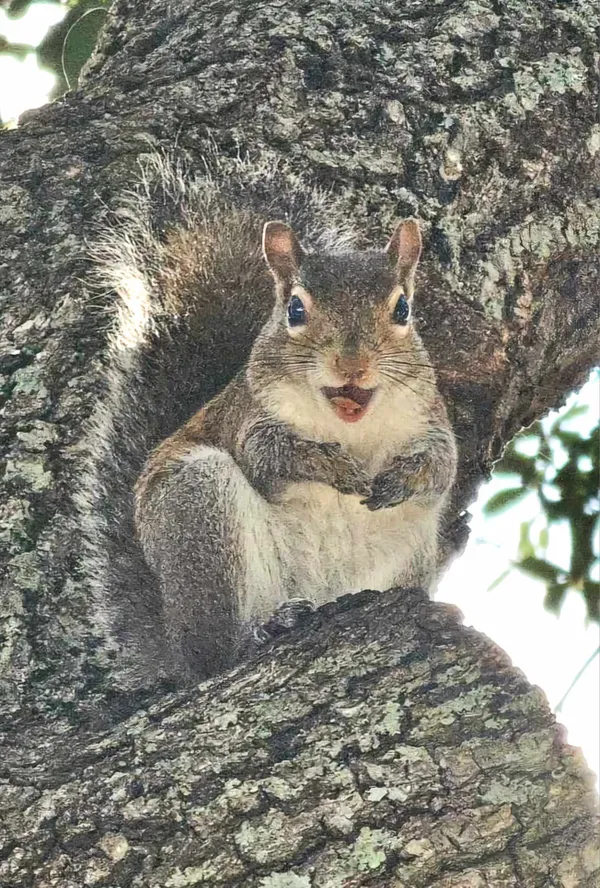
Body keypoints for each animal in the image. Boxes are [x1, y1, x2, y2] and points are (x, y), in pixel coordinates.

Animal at [78, 151, 454, 688]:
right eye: (295, 309)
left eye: (402, 308)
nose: (352, 365)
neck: (349, 425)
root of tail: (175, 646)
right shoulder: (250, 417)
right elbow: (268, 457)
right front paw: (330, 467)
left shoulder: (431, 420)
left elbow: (441, 467)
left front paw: (401, 479)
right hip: (199, 516)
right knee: (217, 655)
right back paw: (263, 629)